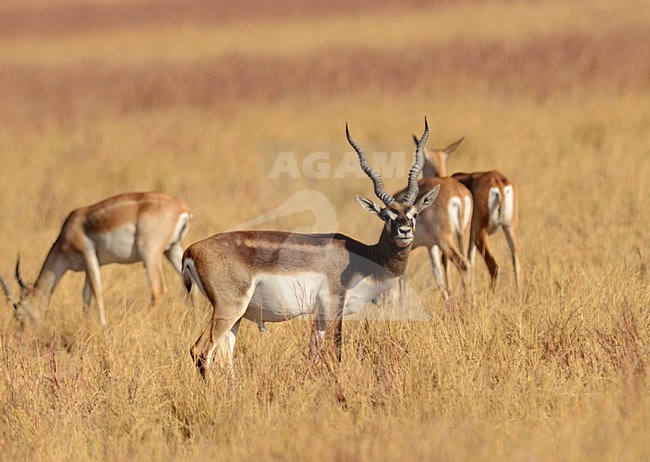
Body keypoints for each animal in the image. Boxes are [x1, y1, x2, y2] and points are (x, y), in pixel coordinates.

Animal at [0, 191, 191, 328]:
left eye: (18, 311)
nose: (23, 333)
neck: (71, 229)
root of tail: (183, 209)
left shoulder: (89, 254)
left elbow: (98, 291)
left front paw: (103, 327)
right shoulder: (88, 266)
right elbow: (86, 296)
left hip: (150, 255)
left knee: (158, 289)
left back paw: (142, 322)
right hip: (173, 250)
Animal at [181, 117, 440, 378]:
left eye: (414, 214)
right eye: (386, 216)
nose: (404, 231)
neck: (364, 258)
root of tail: (191, 250)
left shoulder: (320, 317)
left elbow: (313, 356)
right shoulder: (334, 307)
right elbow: (335, 353)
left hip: (236, 316)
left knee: (225, 357)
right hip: (229, 308)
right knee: (200, 351)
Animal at [390, 135, 470, 302]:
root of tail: (458, 194)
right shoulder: (431, 245)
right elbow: (437, 271)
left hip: (445, 240)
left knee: (462, 263)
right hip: (462, 235)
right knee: (468, 262)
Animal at [418, 135, 520, 290]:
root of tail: (498, 182)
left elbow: (446, 260)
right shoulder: (468, 239)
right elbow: (470, 260)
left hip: (480, 234)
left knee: (494, 267)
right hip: (509, 228)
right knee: (516, 262)